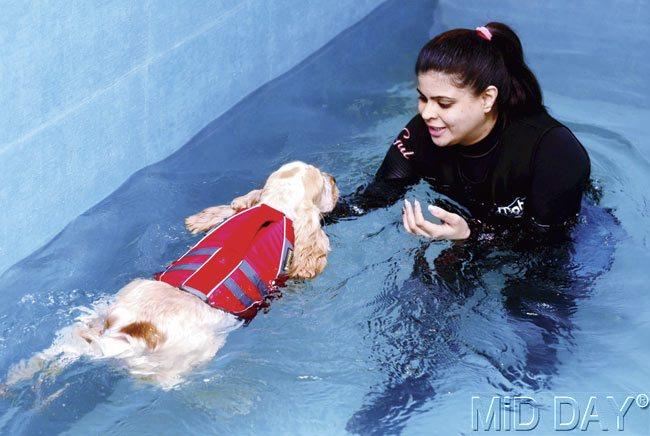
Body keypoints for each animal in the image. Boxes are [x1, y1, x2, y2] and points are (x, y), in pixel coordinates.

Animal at [5, 162, 340, 386]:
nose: (334, 179)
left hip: (96, 315)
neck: (273, 208)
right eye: (323, 183)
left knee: (60, 347)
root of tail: (130, 332)